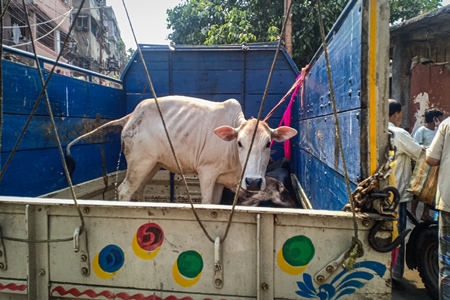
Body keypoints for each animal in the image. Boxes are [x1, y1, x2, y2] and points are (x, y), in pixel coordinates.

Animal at [65, 96, 298, 204]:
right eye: (239, 143)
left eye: (268, 143)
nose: (253, 182)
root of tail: (130, 116)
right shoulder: (207, 172)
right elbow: (207, 203)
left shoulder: (220, 180)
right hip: (140, 163)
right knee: (124, 191)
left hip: (151, 165)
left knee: (139, 189)